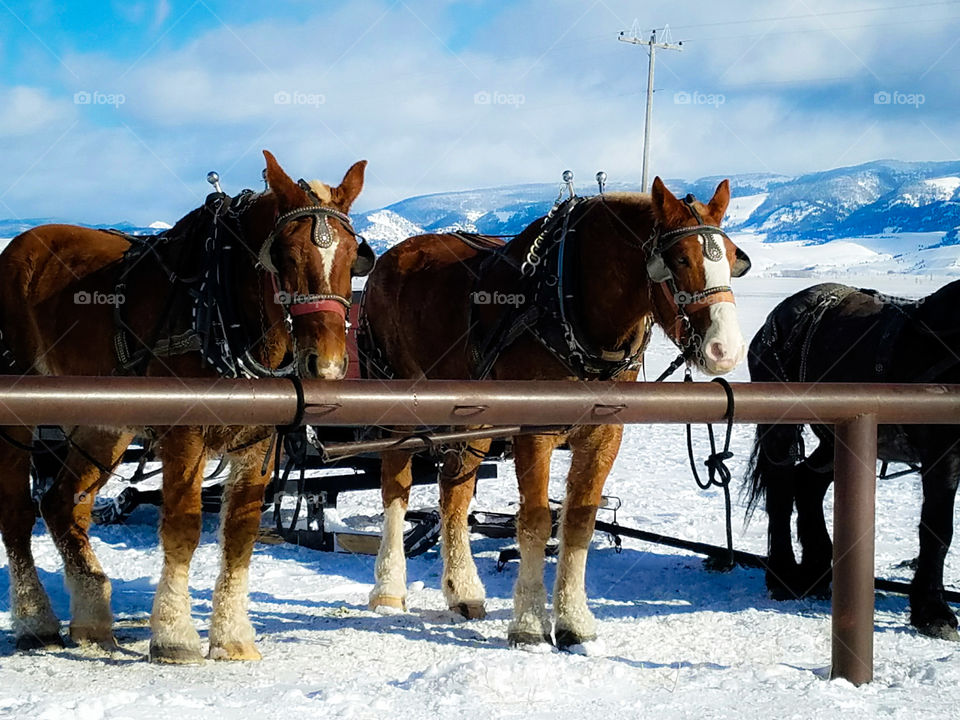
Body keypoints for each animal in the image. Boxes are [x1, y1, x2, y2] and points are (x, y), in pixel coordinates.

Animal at [0, 150, 374, 662]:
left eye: (354, 257)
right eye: (286, 255)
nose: (329, 363)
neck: (222, 307)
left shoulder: (259, 444)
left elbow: (239, 533)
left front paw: (233, 637)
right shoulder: (185, 435)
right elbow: (183, 527)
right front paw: (175, 636)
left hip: (106, 422)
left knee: (63, 503)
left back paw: (92, 620)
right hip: (19, 413)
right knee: (17, 510)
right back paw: (36, 620)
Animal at [360, 176, 751, 648]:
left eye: (733, 256)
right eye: (679, 258)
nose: (725, 350)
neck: (568, 299)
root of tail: (387, 260)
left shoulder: (605, 433)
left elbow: (579, 522)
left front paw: (573, 621)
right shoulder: (535, 428)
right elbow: (534, 520)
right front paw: (529, 622)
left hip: (473, 416)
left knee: (454, 493)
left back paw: (463, 591)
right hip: (396, 402)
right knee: (395, 488)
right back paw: (388, 588)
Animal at [745, 281, 960, 640]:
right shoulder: (943, 453)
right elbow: (938, 529)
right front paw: (933, 612)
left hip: (836, 434)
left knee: (808, 483)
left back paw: (817, 569)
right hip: (780, 425)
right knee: (780, 493)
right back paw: (782, 576)